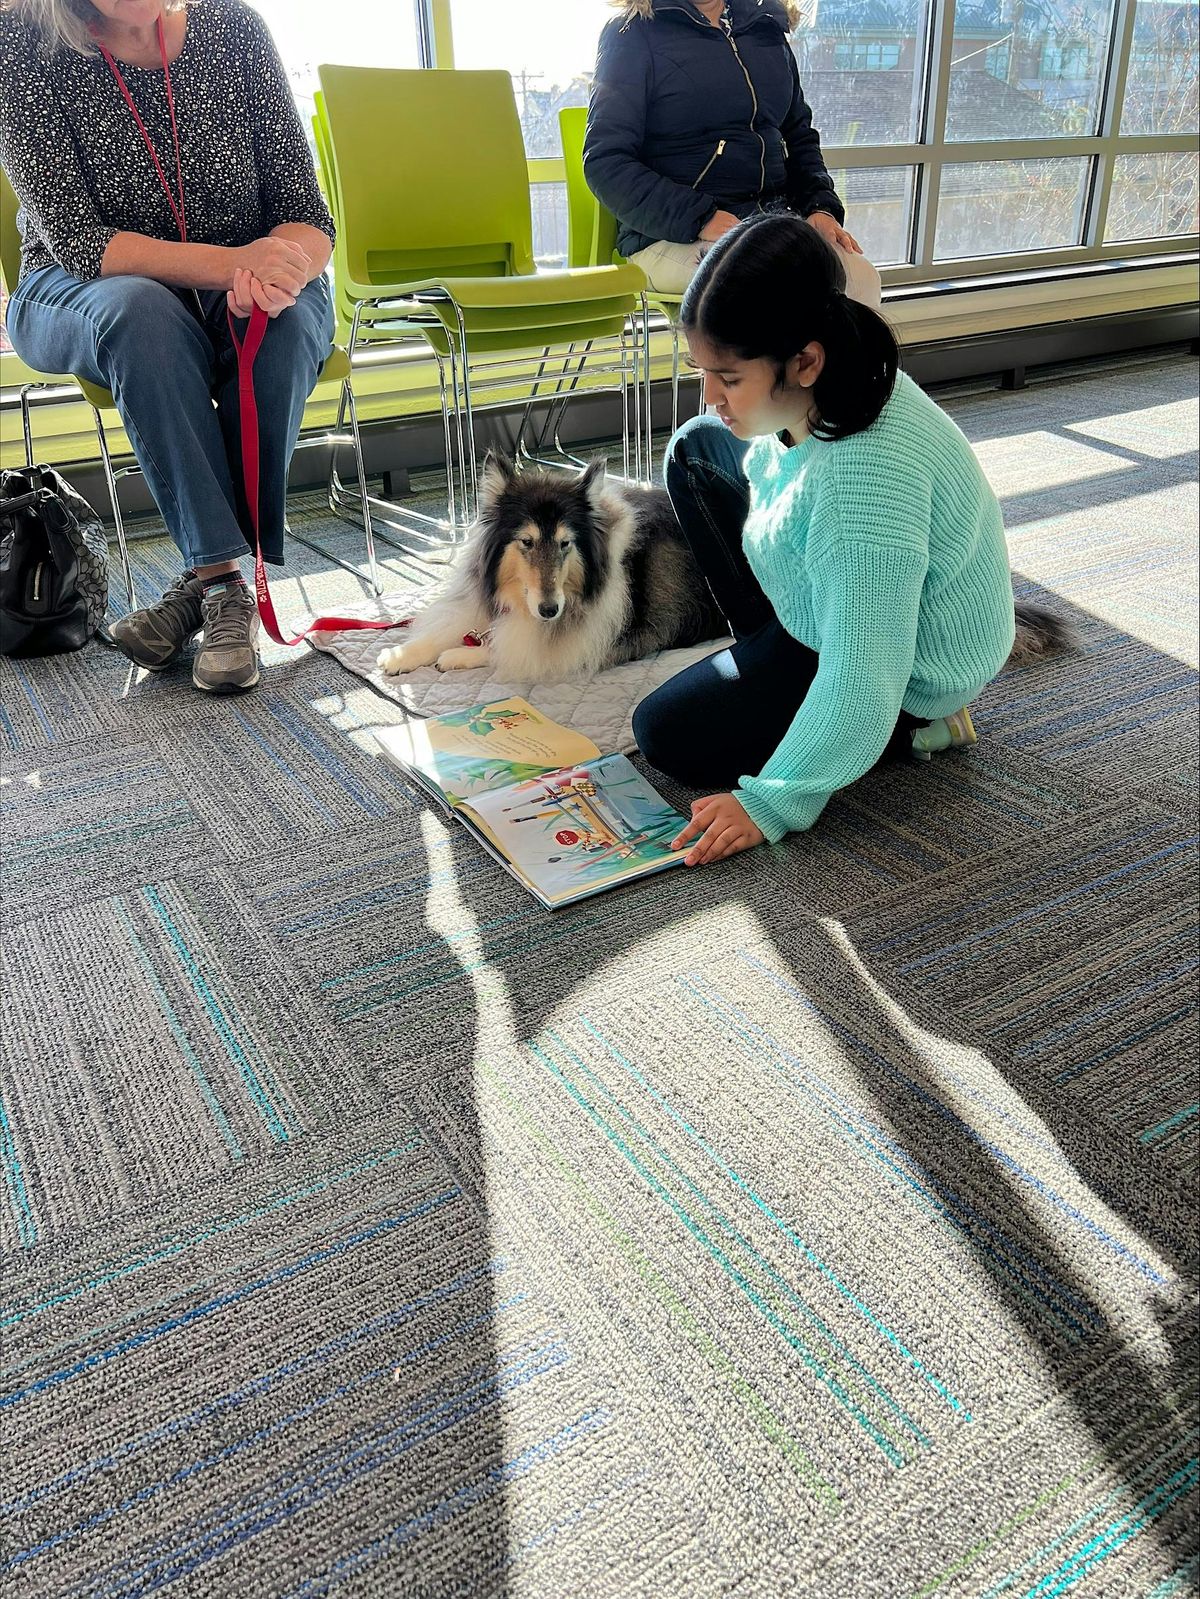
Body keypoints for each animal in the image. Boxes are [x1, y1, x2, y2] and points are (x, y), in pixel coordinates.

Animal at [376, 454, 723, 677]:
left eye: (565, 543)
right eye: (527, 542)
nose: (549, 610)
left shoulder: (596, 639)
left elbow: (513, 647)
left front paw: (457, 655)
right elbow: (450, 626)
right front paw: (400, 655)